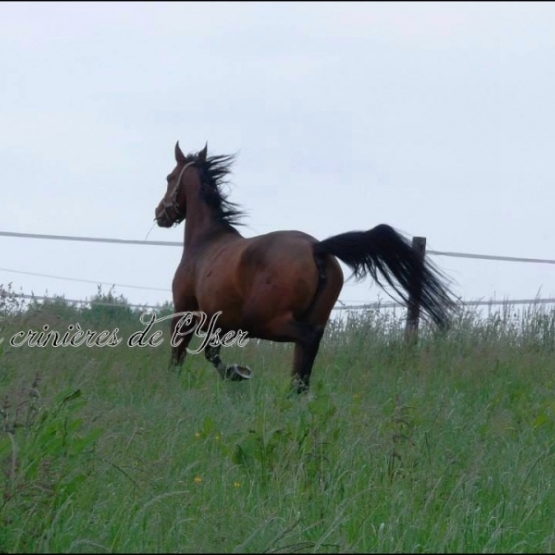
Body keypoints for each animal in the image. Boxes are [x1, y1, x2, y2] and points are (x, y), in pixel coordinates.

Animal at [153, 143, 456, 396]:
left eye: (169, 177)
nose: (159, 214)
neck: (206, 241)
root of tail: (316, 248)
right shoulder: (218, 323)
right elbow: (210, 352)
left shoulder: (186, 314)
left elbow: (182, 355)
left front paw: (227, 374)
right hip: (310, 317)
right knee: (306, 354)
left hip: (265, 321)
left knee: (307, 342)